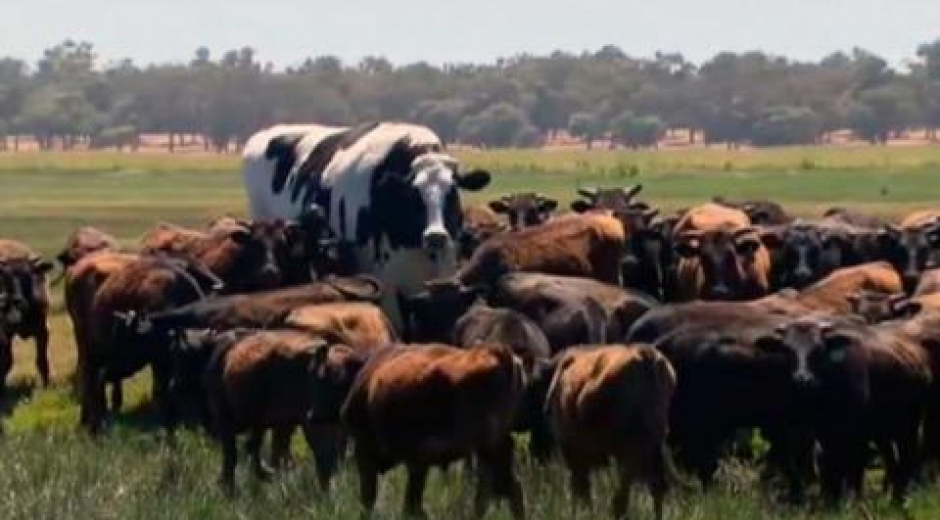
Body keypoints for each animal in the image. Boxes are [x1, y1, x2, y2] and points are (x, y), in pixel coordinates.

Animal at [336, 344, 528, 516]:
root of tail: (499, 352)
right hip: (488, 453)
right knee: (494, 491)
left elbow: (375, 501)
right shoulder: (418, 463)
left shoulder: (368, 453)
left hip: (489, 449)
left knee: (501, 490)